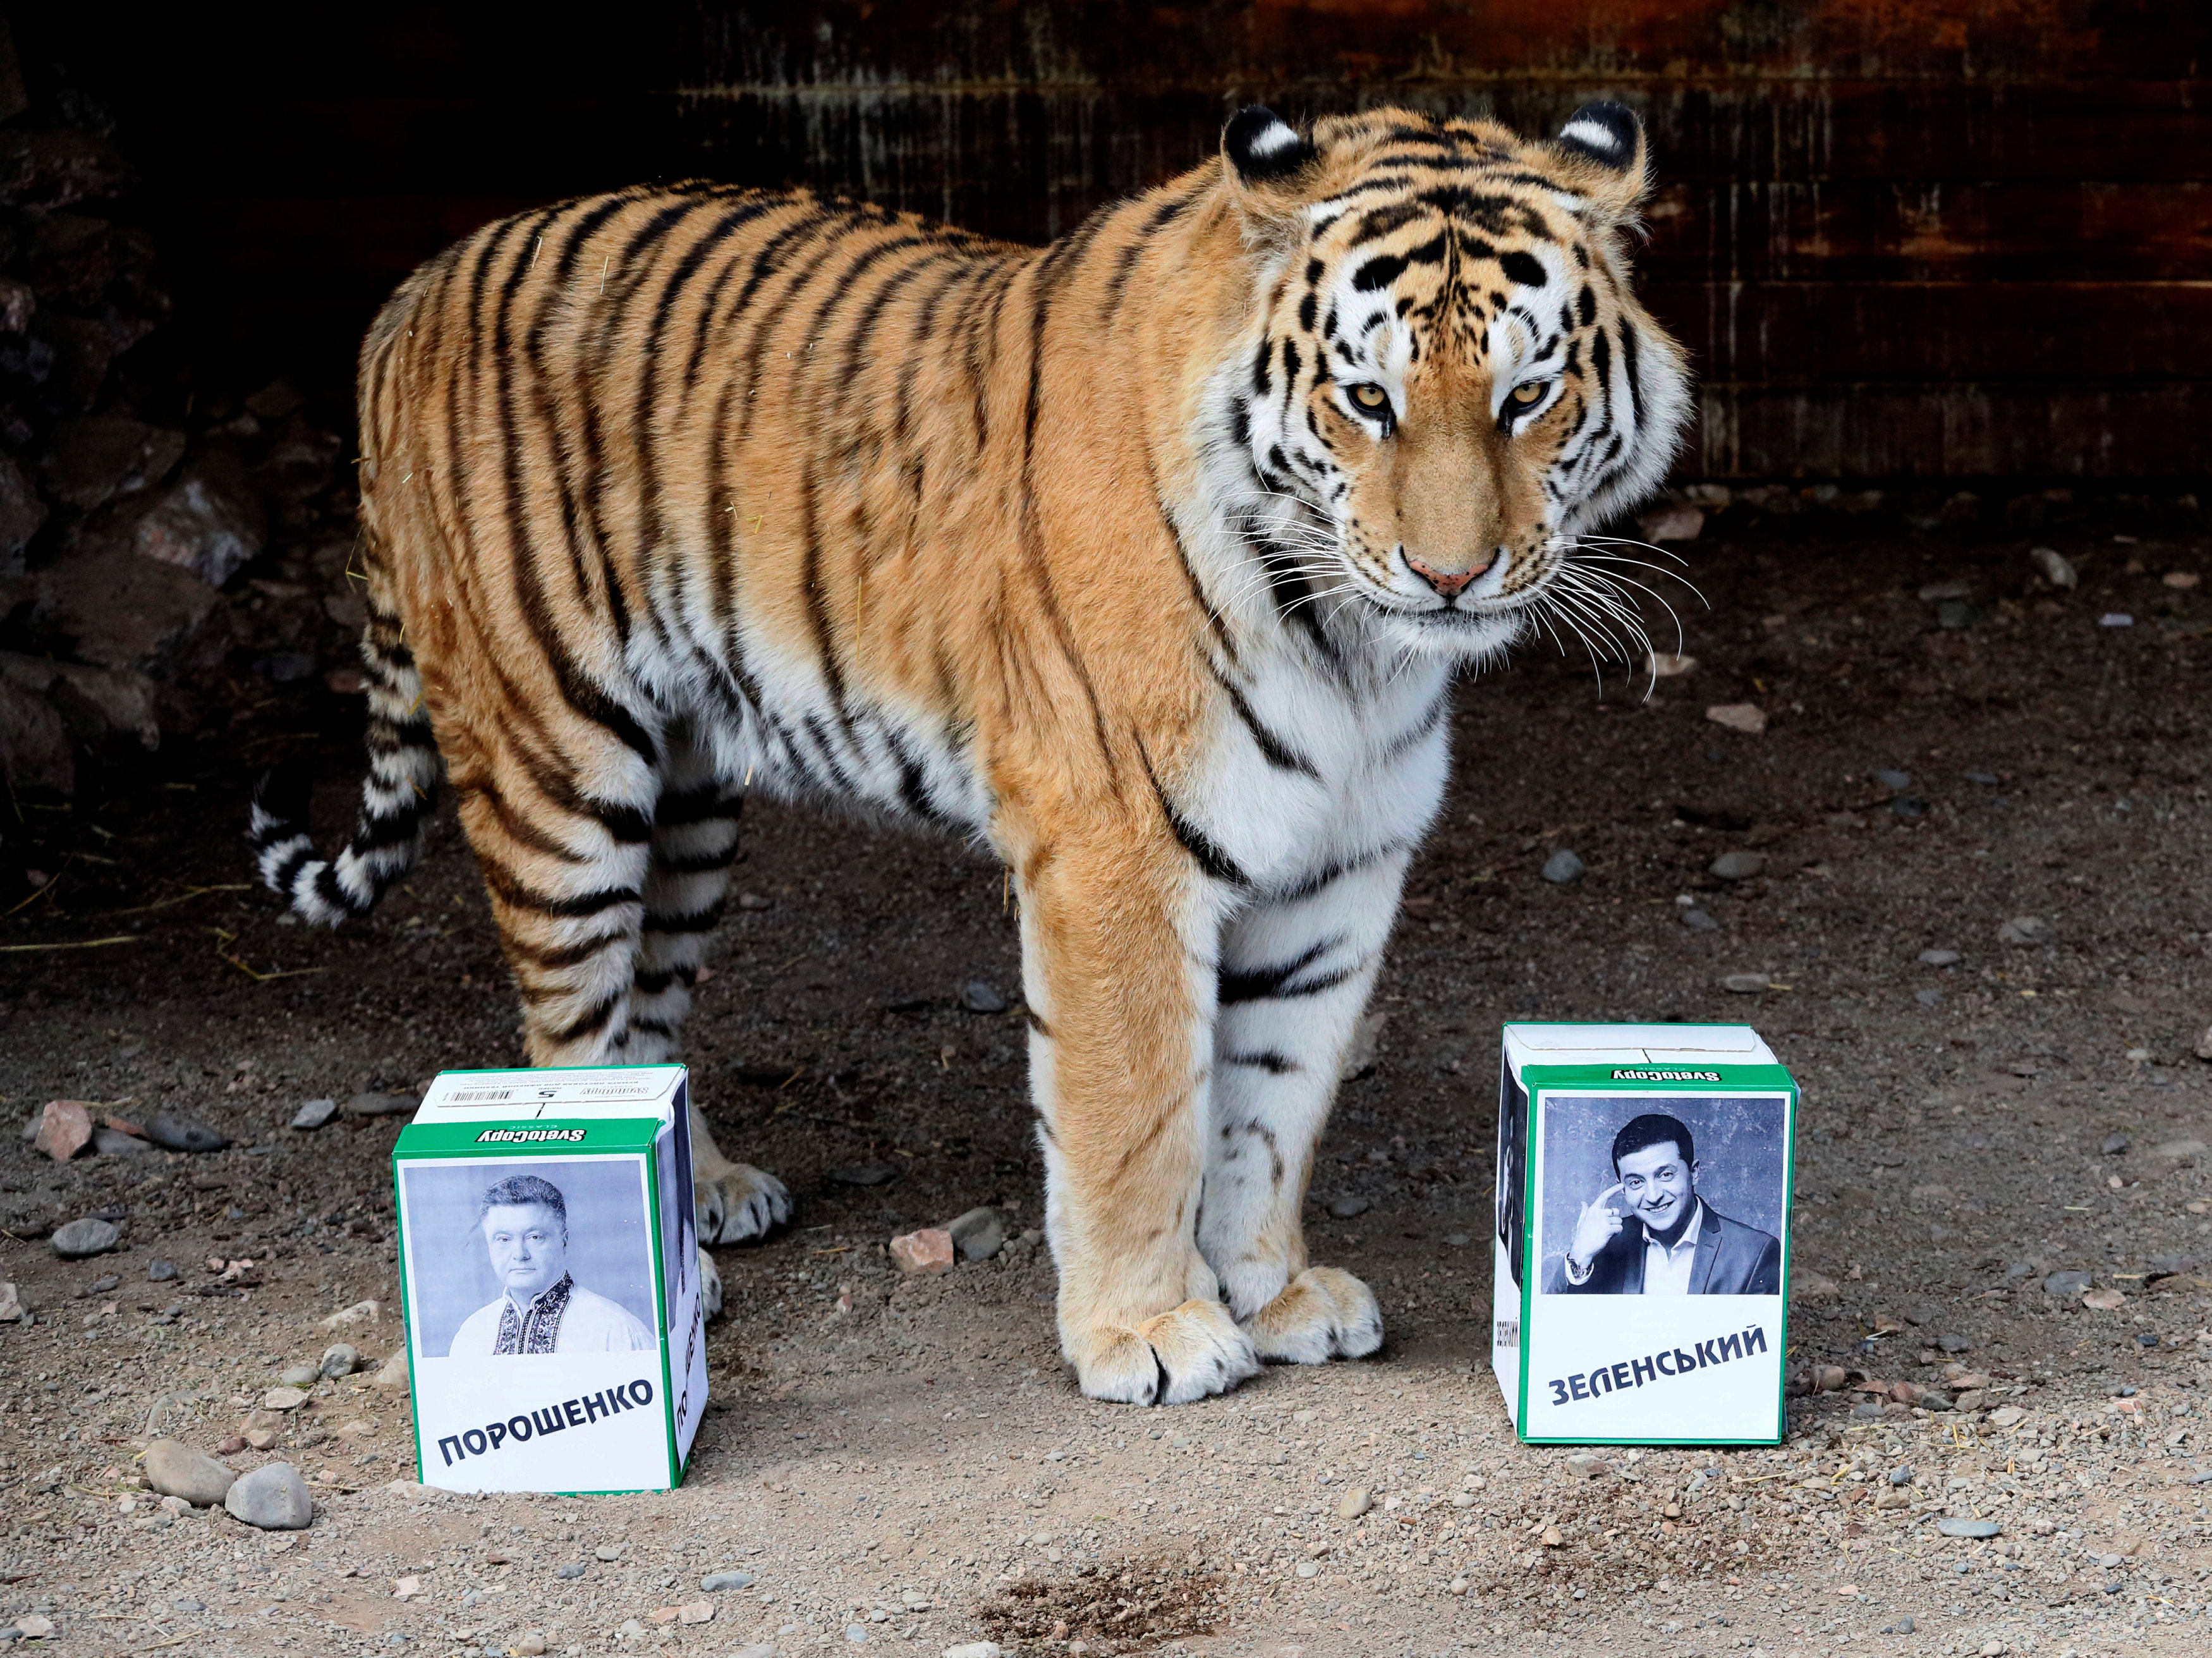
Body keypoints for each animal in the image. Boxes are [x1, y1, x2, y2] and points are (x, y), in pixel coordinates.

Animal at [251, 100, 1681, 1399]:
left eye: (1527, 396)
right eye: (1368, 401)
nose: (1451, 577)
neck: (1354, 651)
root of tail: (415, 286)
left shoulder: (1342, 866)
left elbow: (1274, 1105)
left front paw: (1269, 1290)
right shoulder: (1116, 851)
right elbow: (1138, 1115)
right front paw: (1147, 1330)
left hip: (692, 801)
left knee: (647, 1011)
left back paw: (707, 1193)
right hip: (558, 768)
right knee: (570, 1026)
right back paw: (672, 1268)